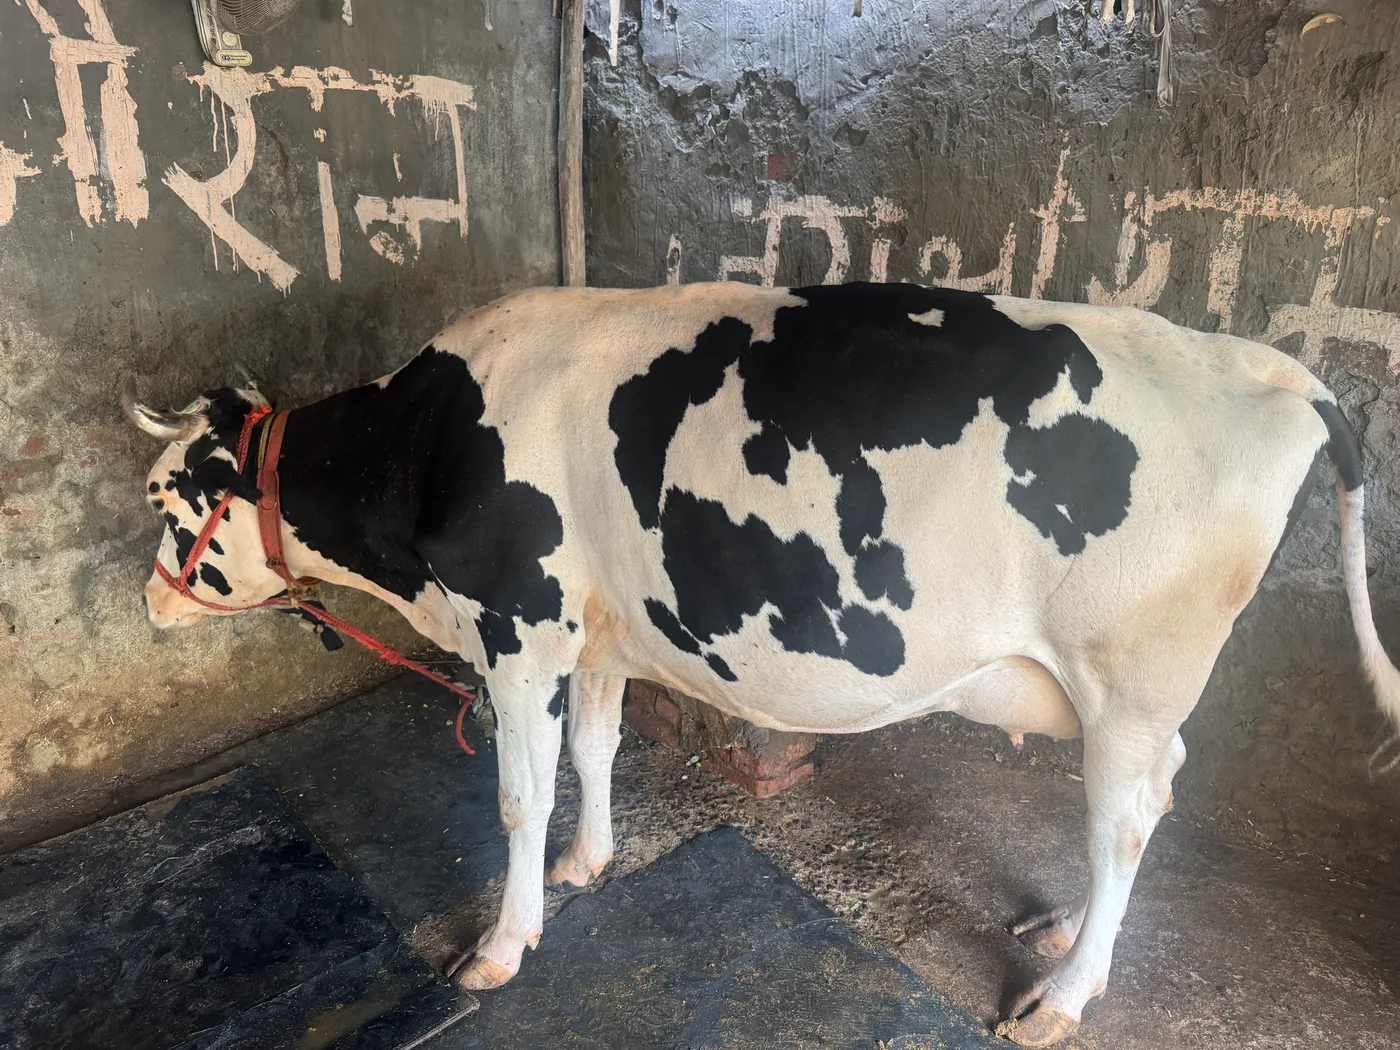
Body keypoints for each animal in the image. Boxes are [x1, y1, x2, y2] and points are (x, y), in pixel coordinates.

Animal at [124, 282, 1399, 1046]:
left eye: (164, 498)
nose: (146, 602)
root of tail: (1281, 372)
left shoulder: (519, 624)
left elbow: (518, 793)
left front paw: (500, 946)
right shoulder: (595, 630)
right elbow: (596, 749)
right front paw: (589, 861)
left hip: (1128, 675)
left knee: (1123, 817)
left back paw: (1063, 995)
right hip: (1131, 693)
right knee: (1152, 796)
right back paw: (1061, 937)